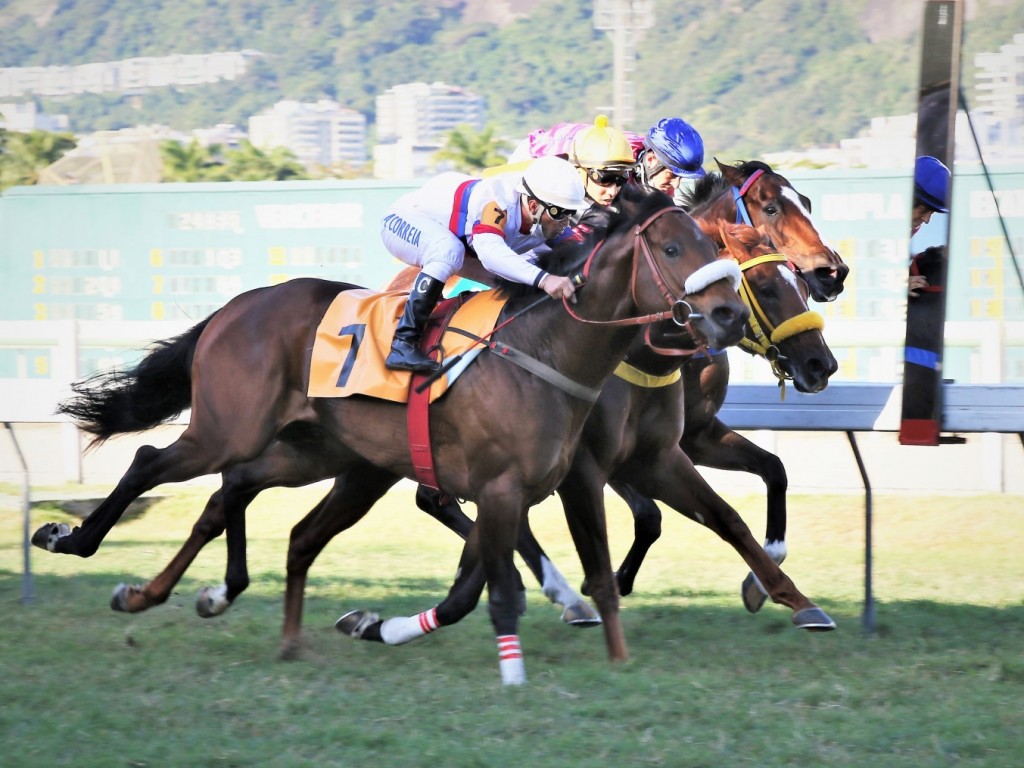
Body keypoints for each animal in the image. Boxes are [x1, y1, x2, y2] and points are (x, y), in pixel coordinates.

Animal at [36, 185, 753, 684]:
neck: (543, 347)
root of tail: (234, 307)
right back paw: (76, 543)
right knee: (151, 461)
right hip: (229, 429)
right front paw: (519, 668)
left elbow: (478, 586)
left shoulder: (517, 491)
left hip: (318, 454)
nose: (728, 314)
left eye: (712, 246)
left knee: (251, 505)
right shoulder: (509, 487)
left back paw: (225, 613)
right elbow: (512, 588)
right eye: (671, 249)